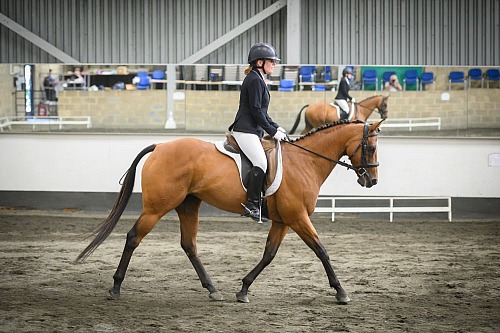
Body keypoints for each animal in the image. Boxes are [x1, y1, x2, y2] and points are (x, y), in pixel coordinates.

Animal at [76, 118, 384, 304]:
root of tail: (160, 145)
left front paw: (244, 289)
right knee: (133, 238)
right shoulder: (298, 218)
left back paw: (212, 289)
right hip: (156, 207)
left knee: (189, 245)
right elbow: (322, 250)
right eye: (369, 147)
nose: (371, 181)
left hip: (189, 205)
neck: (305, 161)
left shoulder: (284, 221)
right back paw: (116, 287)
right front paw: (341, 292)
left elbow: (269, 255)